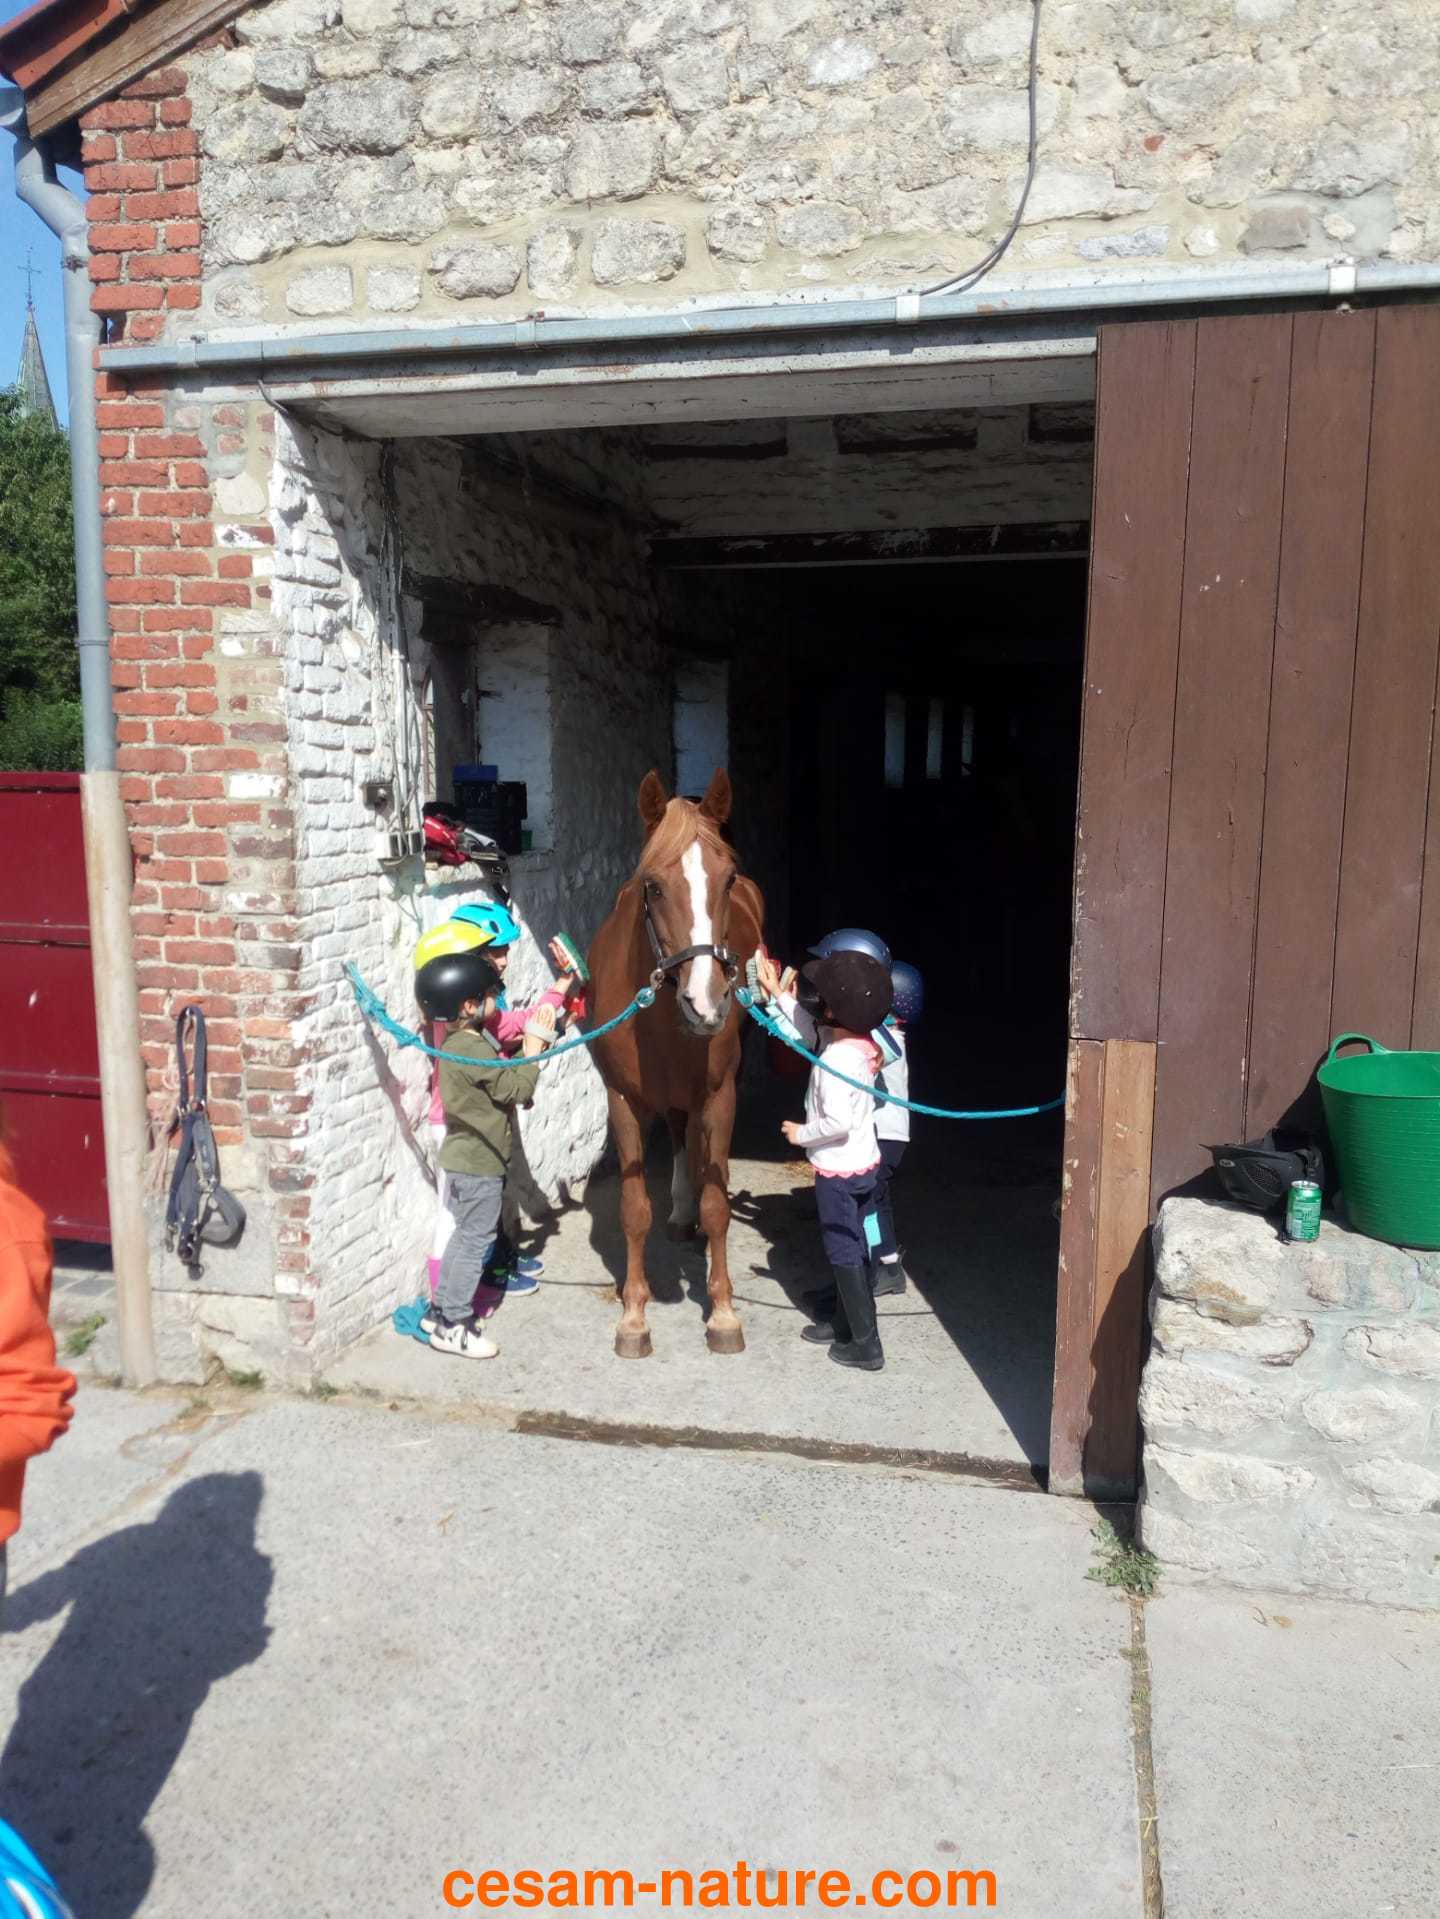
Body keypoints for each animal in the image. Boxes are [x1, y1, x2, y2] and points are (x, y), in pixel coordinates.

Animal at [588, 768, 765, 1359]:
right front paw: (634, 1318)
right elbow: (633, 1210)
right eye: (653, 886)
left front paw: (724, 1314)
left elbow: (719, 1206)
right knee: (679, 1133)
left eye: (727, 880)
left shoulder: (720, 1094)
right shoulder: (622, 1099)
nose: (706, 1003)